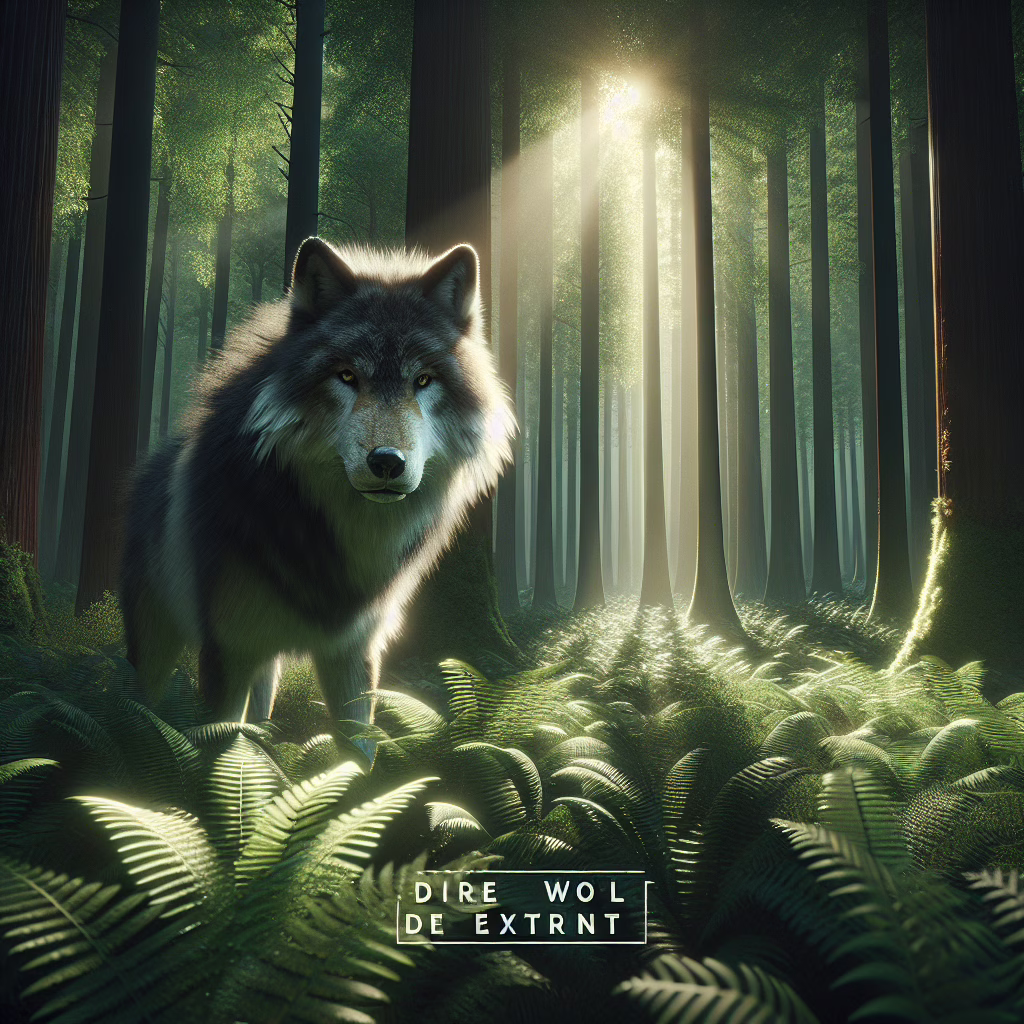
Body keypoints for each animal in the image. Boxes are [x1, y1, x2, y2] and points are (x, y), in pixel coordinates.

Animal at [120, 238, 514, 734]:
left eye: (423, 380)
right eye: (347, 376)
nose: (387, 462)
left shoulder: (355, 653)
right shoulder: (227, 648)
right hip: (155, 649)